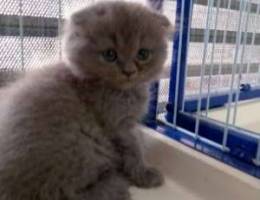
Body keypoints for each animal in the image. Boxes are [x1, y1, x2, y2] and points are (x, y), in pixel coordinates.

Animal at [0, 1, 173, 200]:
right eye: (110, 55)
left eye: (143, 54)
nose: (129, 72)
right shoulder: (118, 126)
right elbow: (134, 149)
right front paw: (144, 174)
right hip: (81, 148)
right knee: (65, 193)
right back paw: (115, 184)